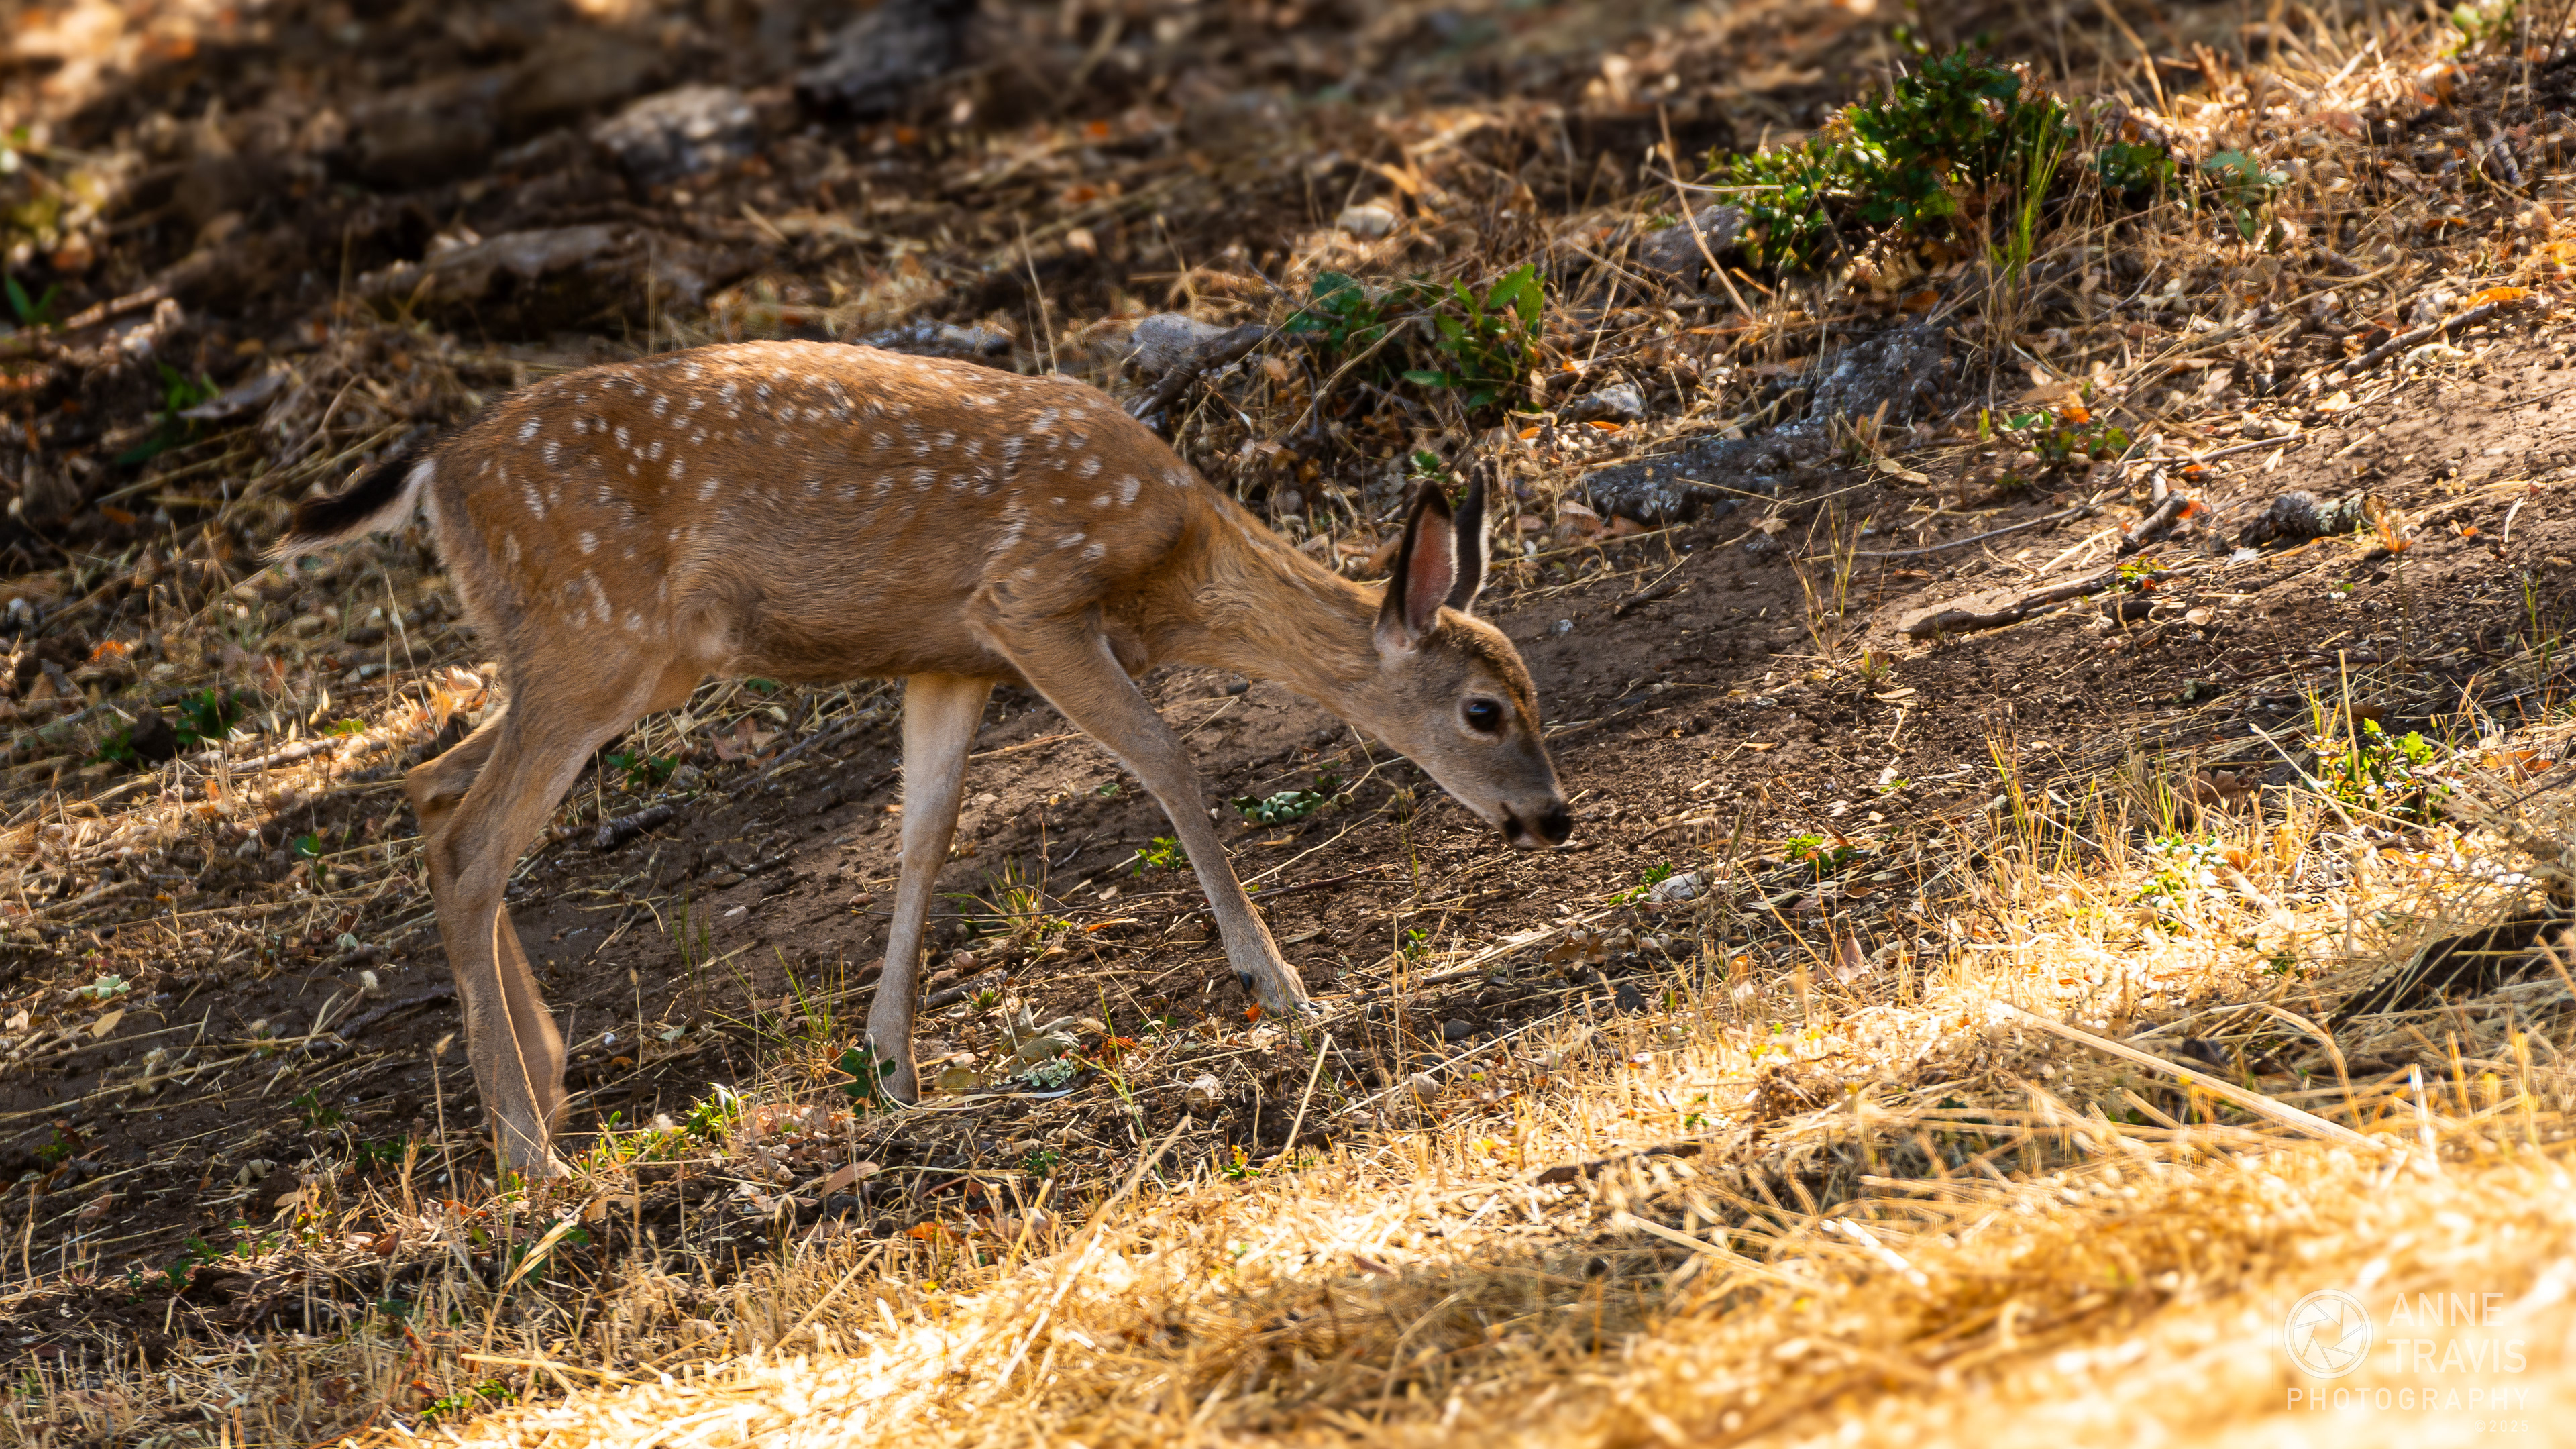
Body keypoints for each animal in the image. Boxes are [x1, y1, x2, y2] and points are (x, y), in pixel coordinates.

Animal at [273, 339, 1572, 1175]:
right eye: (1483, 711)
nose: (1554, 817)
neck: (1174, 565)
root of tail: (438, 473)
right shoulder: (1029, 600)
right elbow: (1169, 761)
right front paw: (1280, 983)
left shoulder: (948, 657)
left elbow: (924, 835)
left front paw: (893, 1069)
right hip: (600, 635)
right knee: (474, 837)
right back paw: (528, 1153)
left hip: (607, 658)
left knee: (428, 786)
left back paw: (544, 1085)